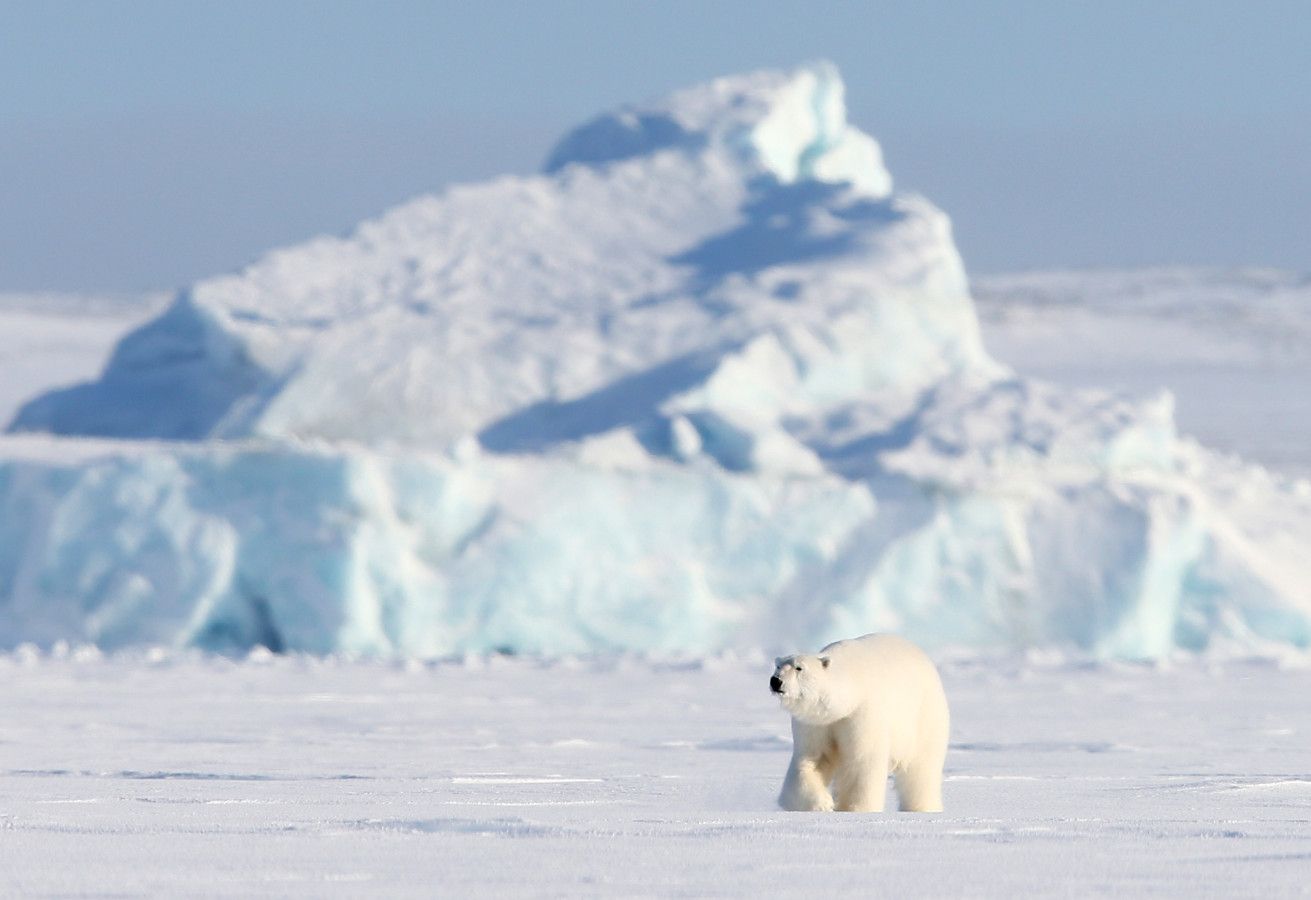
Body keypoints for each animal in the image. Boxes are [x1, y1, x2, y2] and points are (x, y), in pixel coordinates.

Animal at [770, 632, 949, 813]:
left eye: (799, 668)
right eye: (778, 666)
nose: (776, 681)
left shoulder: (862, 712)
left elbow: (861, 760)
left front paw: (855, 808)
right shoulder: (817, 723)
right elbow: (813, 759)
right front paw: (822, 803)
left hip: (924, 715)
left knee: (921, 768)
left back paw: (922, 807)